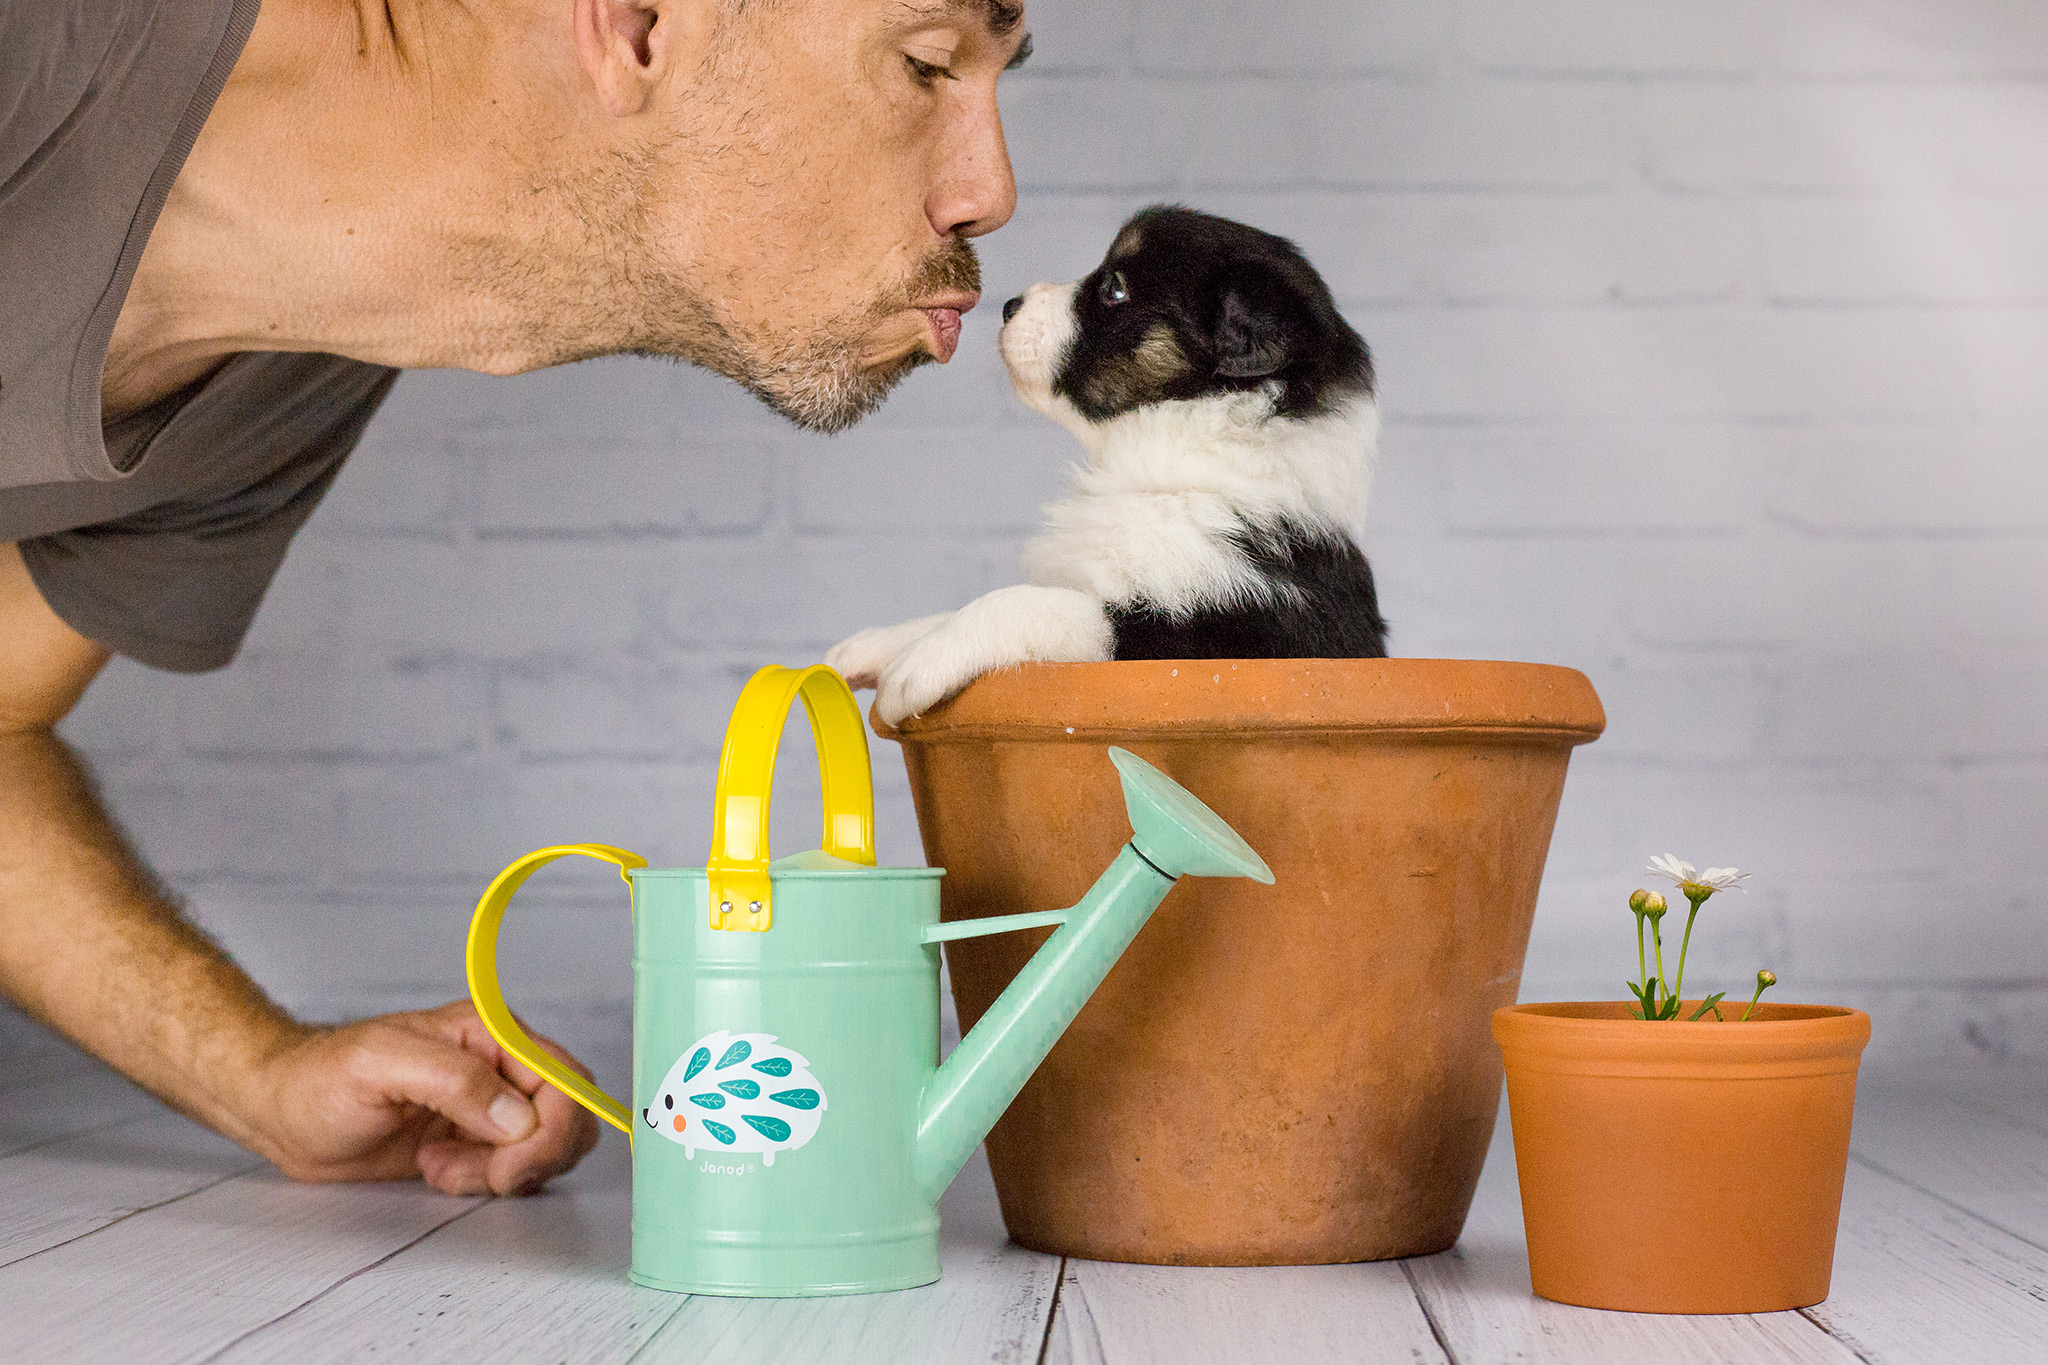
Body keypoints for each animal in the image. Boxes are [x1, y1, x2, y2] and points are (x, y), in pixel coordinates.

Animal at [823, 202, 1384, 724]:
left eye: (1115, 290)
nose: (1008, 306)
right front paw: (866, 647)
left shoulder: (1210, 639)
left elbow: (1035, 602)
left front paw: (916, 667)